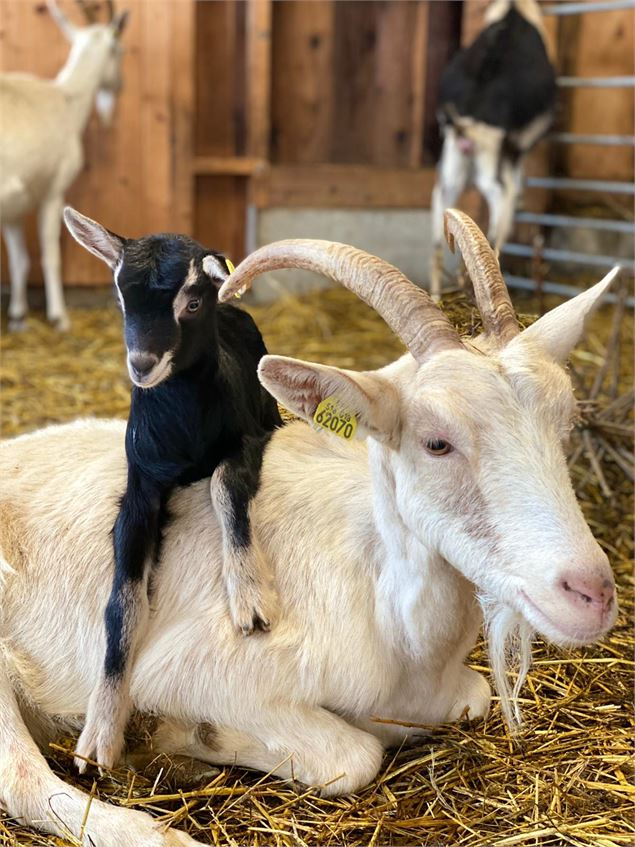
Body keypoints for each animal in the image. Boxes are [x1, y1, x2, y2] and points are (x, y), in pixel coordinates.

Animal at [0, 0, 129, 332]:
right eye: (119, 49)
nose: (118, 86)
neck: (68, 99)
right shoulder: (53, 191)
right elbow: (50, 256)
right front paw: (59, 317)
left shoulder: (16, 205)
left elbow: (20, 261)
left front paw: (18, 314)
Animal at [0, 212, 616, 847]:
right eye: (436, 442)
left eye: (565, 421)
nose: (590, 593)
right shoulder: (183, 671)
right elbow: (356, 756)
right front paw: (194, 735)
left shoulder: (453, 693)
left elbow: (473, 698)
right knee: (24, 779)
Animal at [432, 0, 556, 298]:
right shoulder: (517, 142)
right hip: (490, 155)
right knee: (499, 202)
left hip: (452, 160)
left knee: (439, 226)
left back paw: (436, 294)